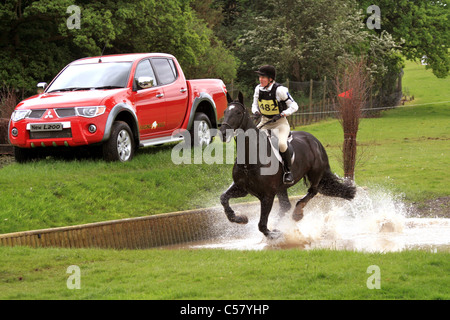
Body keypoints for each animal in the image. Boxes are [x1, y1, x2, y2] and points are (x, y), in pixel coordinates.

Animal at [220, 91, 356, 239]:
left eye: (238, 112)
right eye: (225, 111)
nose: (223, 133)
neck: (250, 159)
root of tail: (315, 141)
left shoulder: (267, 195)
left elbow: (262, 225)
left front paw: (273, 234)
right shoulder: (242, 188)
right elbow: (223, 198)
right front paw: (239, 218)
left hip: (314, 174)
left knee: (313, 191)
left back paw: (297, 213)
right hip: (282, 187)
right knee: (286, 205)